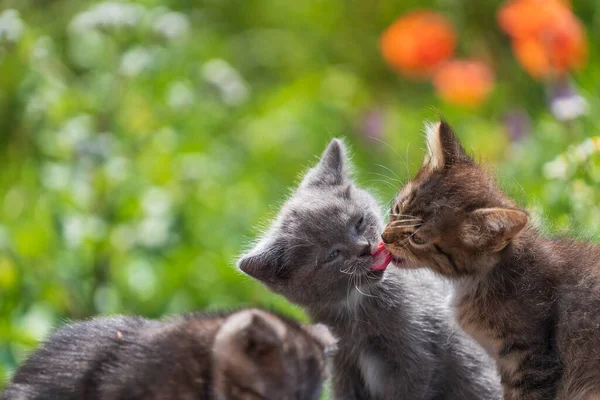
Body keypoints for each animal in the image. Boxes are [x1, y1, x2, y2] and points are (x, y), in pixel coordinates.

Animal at [239, 140, 502, 400]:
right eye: (333, 255)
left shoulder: (416, 355)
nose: (364, 248)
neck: (356, 310)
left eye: (359, 222)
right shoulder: (343, 368)